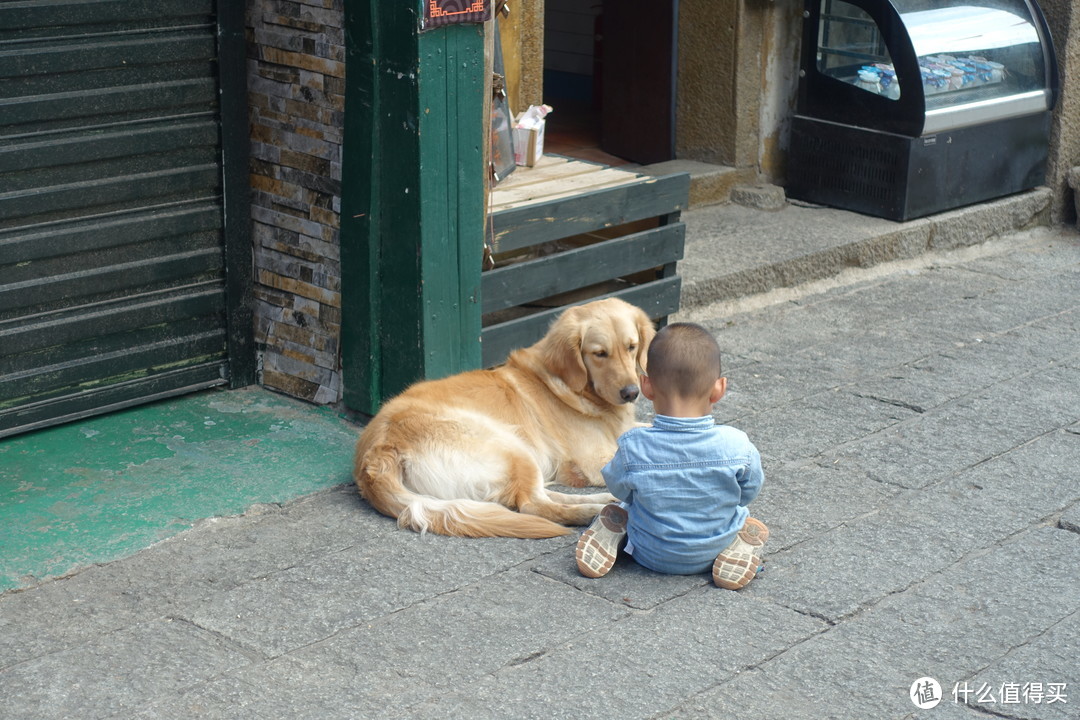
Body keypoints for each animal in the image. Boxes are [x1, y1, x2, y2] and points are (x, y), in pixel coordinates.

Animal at [358, 295, 652, 537]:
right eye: (599, 353)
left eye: (631, 347)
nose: (631, 392)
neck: (570, 386)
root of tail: (377, 452)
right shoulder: (593, 461)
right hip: (510, 445)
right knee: (533, 505)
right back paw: (589, 512)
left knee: (542, 495)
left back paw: (603, 500)